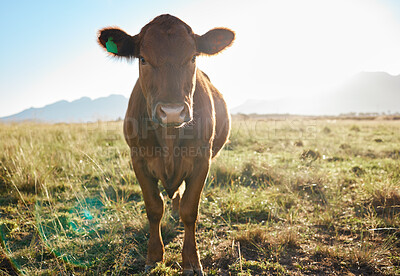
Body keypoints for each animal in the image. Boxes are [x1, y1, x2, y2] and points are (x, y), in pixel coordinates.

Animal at [97, 15, 234, 276]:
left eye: (193, 57)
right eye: (142, 59)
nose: (172, 111)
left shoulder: (202, 160)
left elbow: (190, 210)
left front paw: (191, 261)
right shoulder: (138, 159)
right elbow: (153, 207)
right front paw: (153, 255)